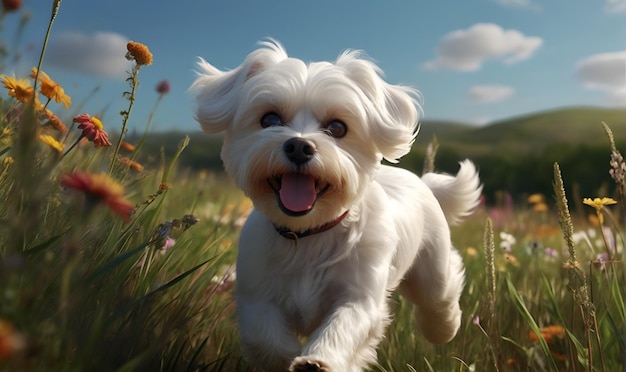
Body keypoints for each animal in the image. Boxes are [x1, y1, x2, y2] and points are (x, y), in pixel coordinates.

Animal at [193, 40, 480, 372]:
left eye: (338, 127)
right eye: (269, 120)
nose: (299, 146)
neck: (309, 234)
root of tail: (424, 182)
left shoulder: (360, 297)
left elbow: (342, 326)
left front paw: (316, 361)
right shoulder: (256, 294)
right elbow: (265, 336)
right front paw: (288, 356)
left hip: (431, 268)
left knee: (441, 290)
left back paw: (444, 327)